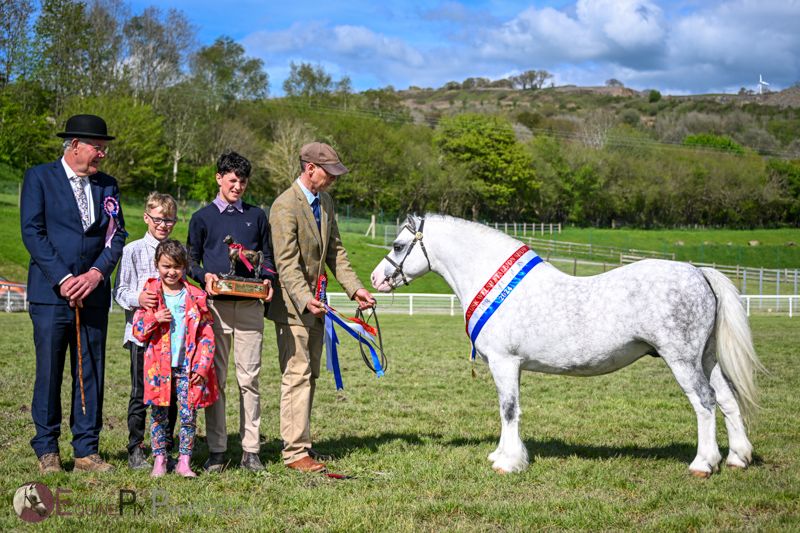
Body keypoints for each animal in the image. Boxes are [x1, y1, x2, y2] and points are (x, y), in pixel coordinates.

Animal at [368, 214, 764, 476]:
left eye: (398, 246)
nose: (376, 279)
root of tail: (699, 272)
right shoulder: (511, 366)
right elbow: (510, 411)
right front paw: (503, 455)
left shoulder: (503, 362)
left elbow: (507, 410)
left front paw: (507, 462)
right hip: (707, 358)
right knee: (727, 399)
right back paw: (737, 458)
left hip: (682, 360)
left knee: (705, 402)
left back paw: (703, 464)